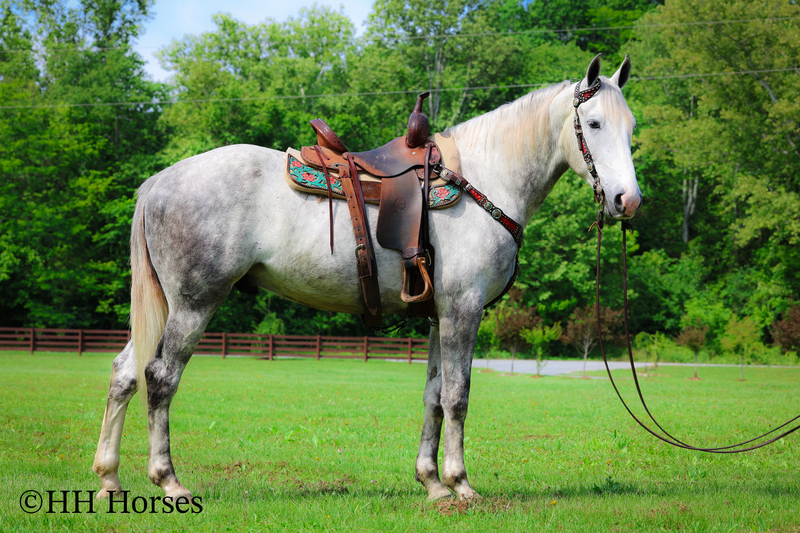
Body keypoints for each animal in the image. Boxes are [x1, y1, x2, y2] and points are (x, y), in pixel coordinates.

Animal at [92, 54, 641, 502]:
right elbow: (458, 395)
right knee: (160, 377)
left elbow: (433, 397)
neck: (483, 179)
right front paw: (461, 484)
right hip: (194, 302)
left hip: (167, 304)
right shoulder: (463, 310)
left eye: (630, 127)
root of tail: (160, 181)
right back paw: (168, 482)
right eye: (594, 123)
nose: (627, 200)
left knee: (123, 372)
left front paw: (432, 483)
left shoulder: (438, 316)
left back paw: (109, 477)